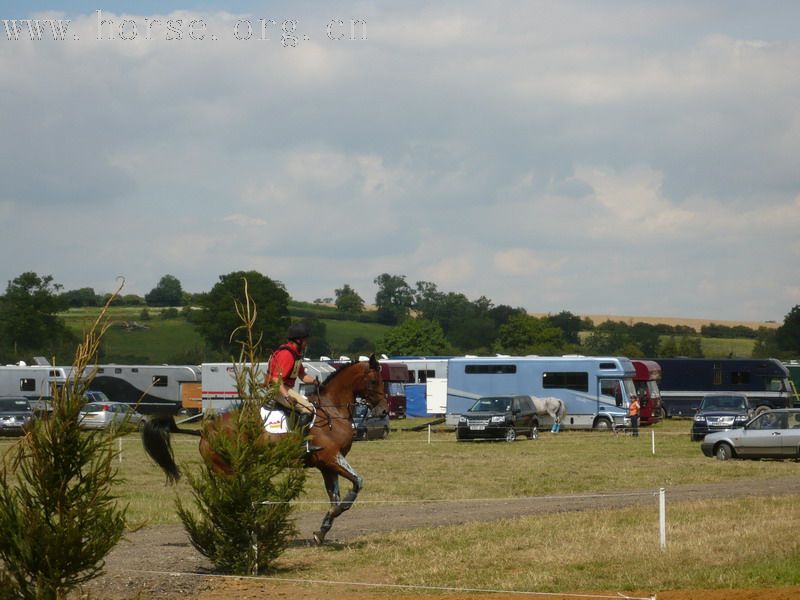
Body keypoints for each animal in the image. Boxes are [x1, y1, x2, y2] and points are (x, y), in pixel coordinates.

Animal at [142, 354, 390, 548]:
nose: (384, 410)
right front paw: (338, 512)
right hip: (228, 470)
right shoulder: (331, 458)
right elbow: (357, 484)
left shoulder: (326, 465)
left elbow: (335, 499)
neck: (332, 410)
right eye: (374, 381)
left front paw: (321, 531)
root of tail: (205, 431)